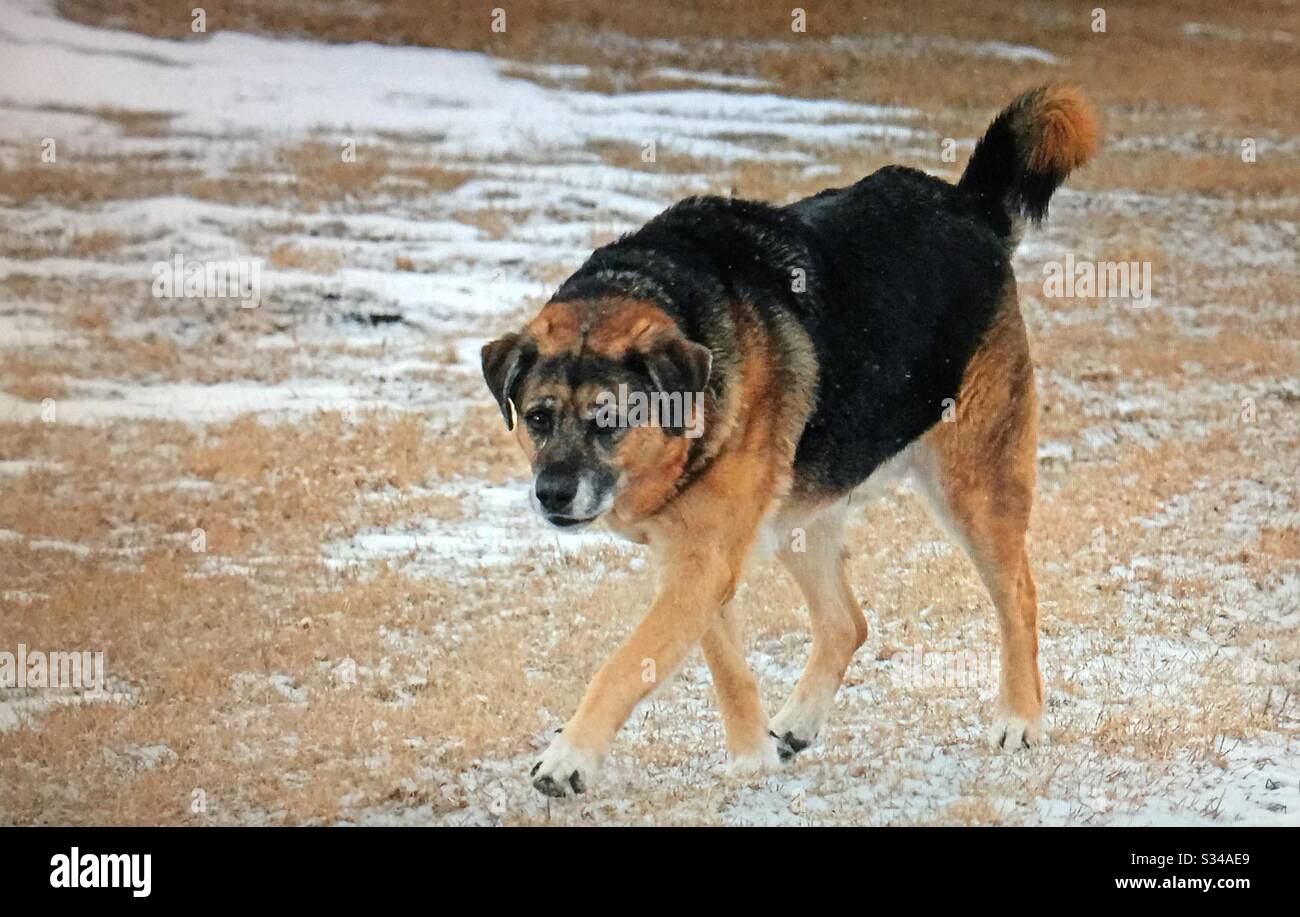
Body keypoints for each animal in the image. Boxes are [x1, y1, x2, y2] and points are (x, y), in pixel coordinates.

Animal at [480, 89, 1097, 796]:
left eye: (609, 420)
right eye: (538, 417)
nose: (551, 494)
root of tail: (970, 205)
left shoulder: (702, 560)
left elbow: (625, 662)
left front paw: (570, 756)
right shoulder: (699, 557)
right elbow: (726, 668)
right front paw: (752, 758)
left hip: (973, 486)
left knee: (1017, 596)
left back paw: (1020, 719)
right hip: (804, 512)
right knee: (846, 623)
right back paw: (797, 724)